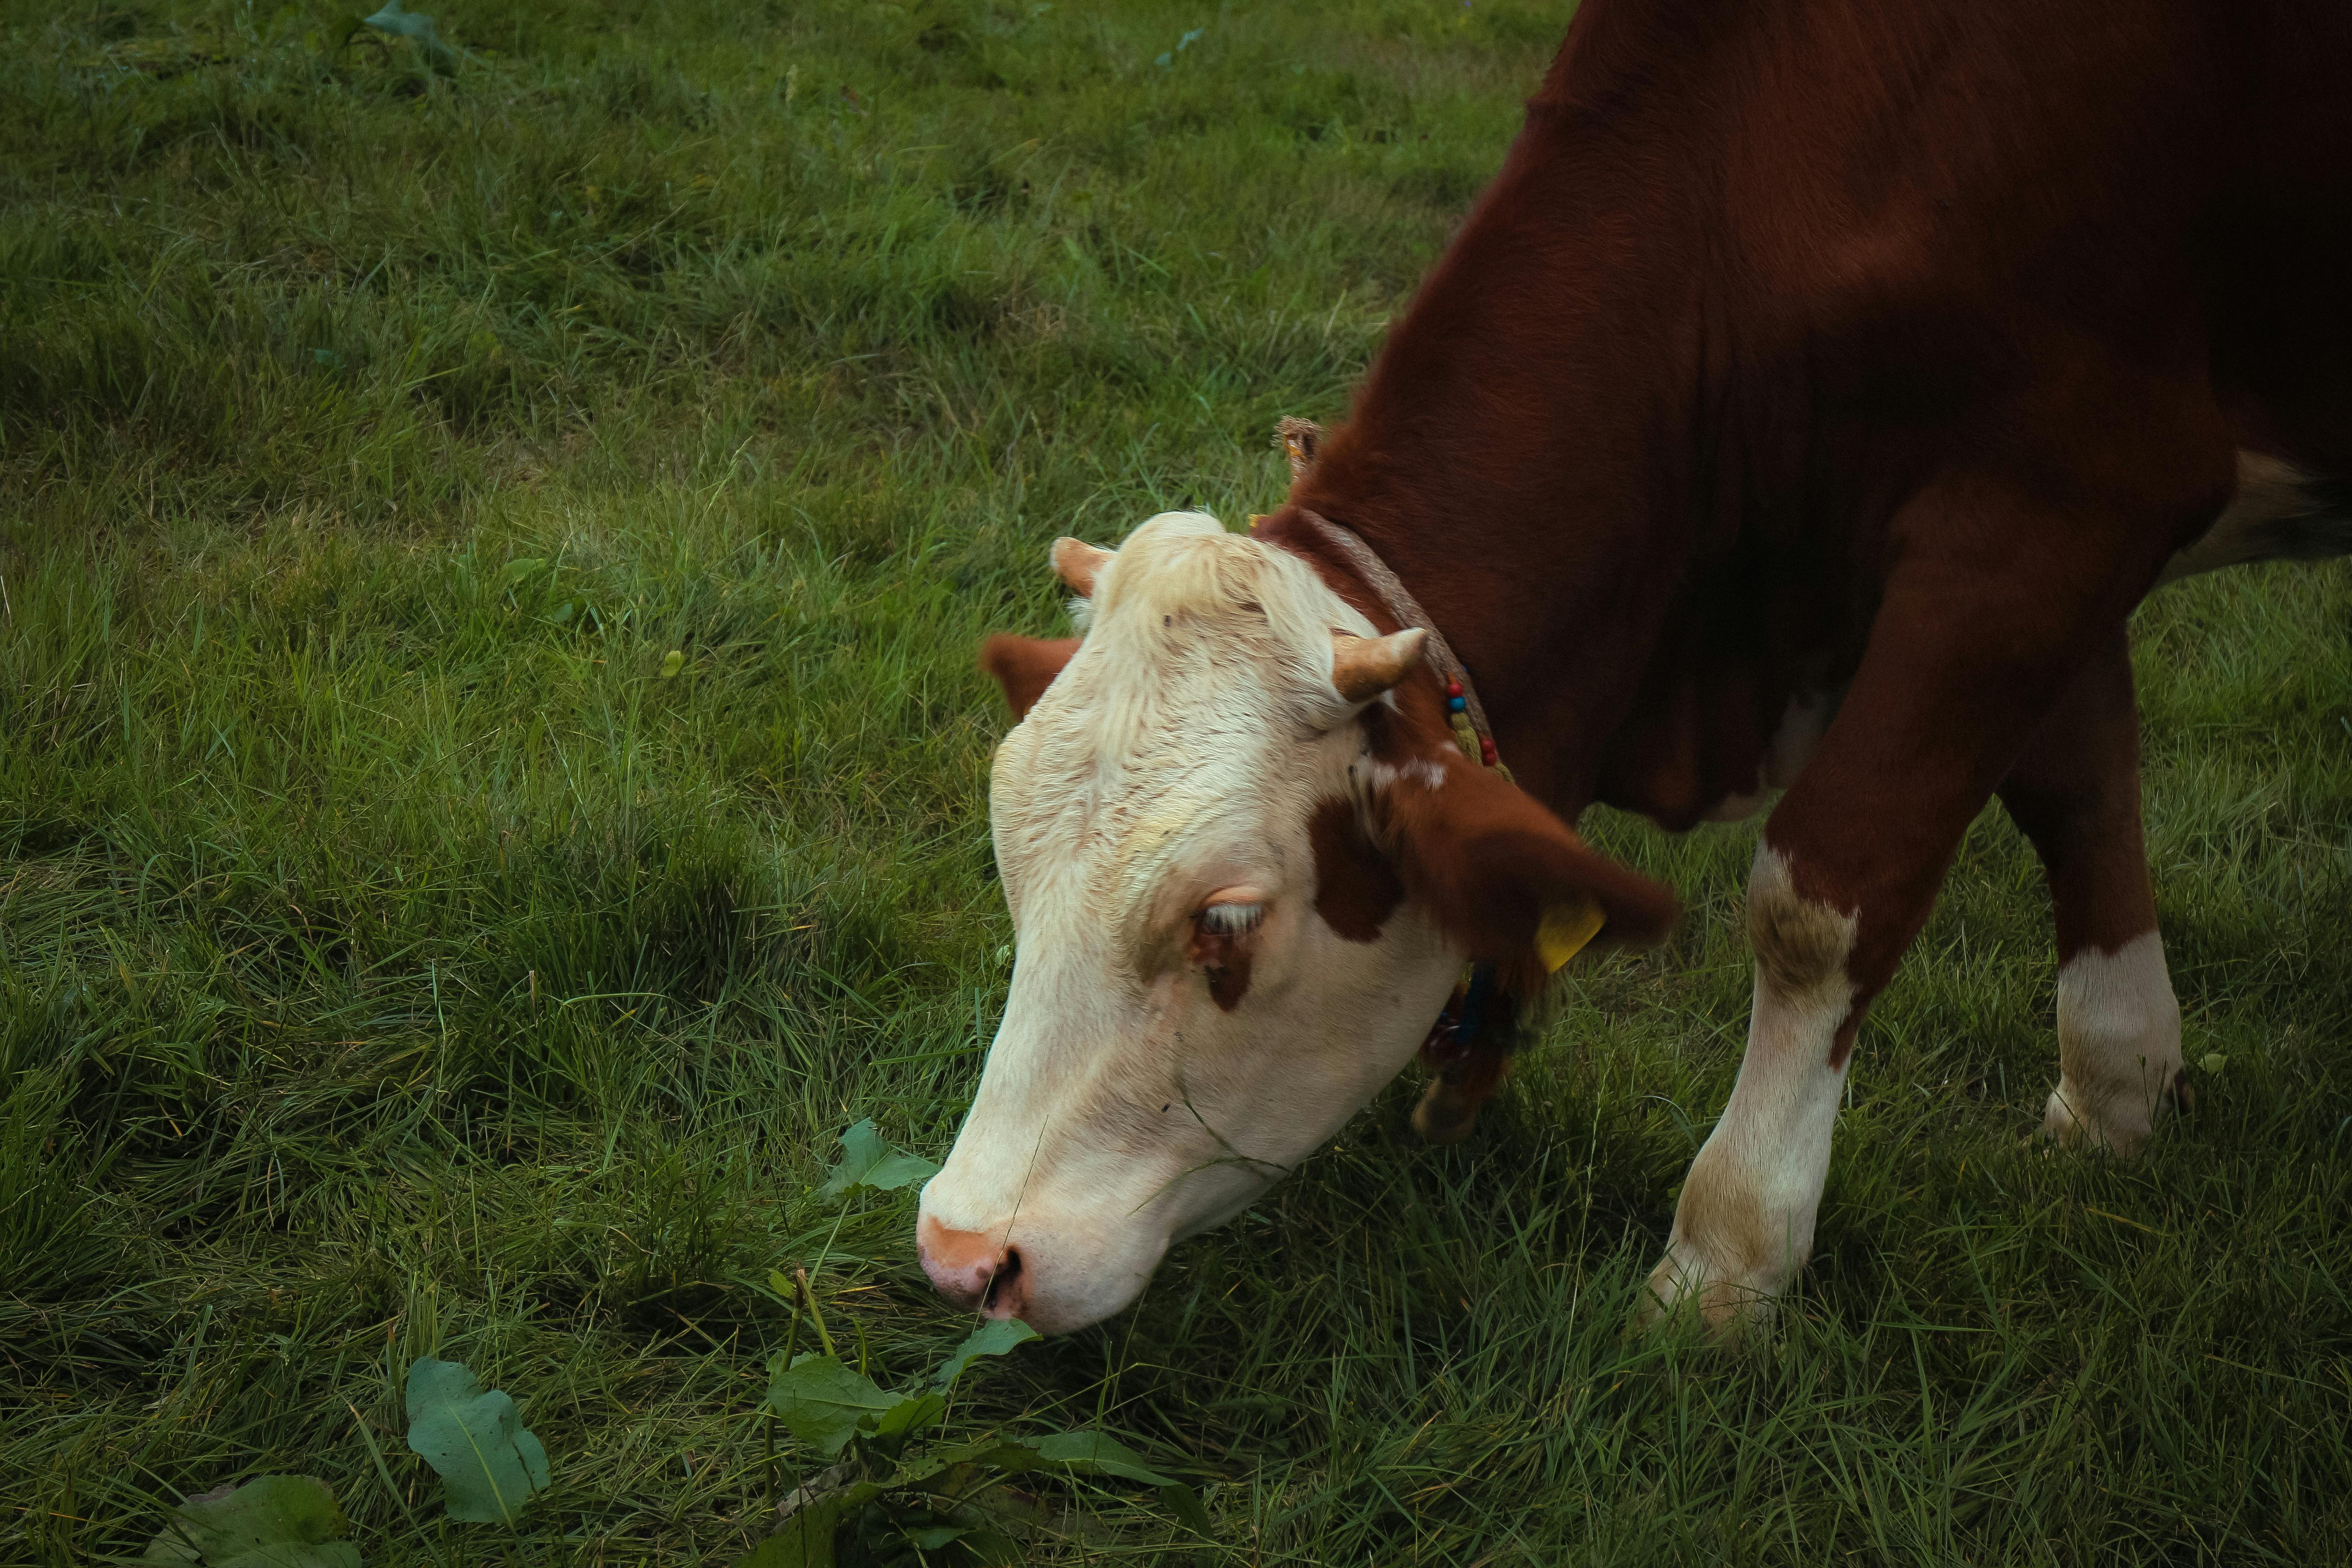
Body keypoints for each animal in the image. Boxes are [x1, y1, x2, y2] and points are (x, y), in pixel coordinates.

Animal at [915, 0, 2352, 1335]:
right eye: (1014, 876)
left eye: (1225, 923)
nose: (964, 1252)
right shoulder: (2070, 537)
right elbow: (2082, 794)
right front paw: (2116, 1094)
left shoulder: (2048, 509)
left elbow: (1826, 891)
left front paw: (1727, 1260)